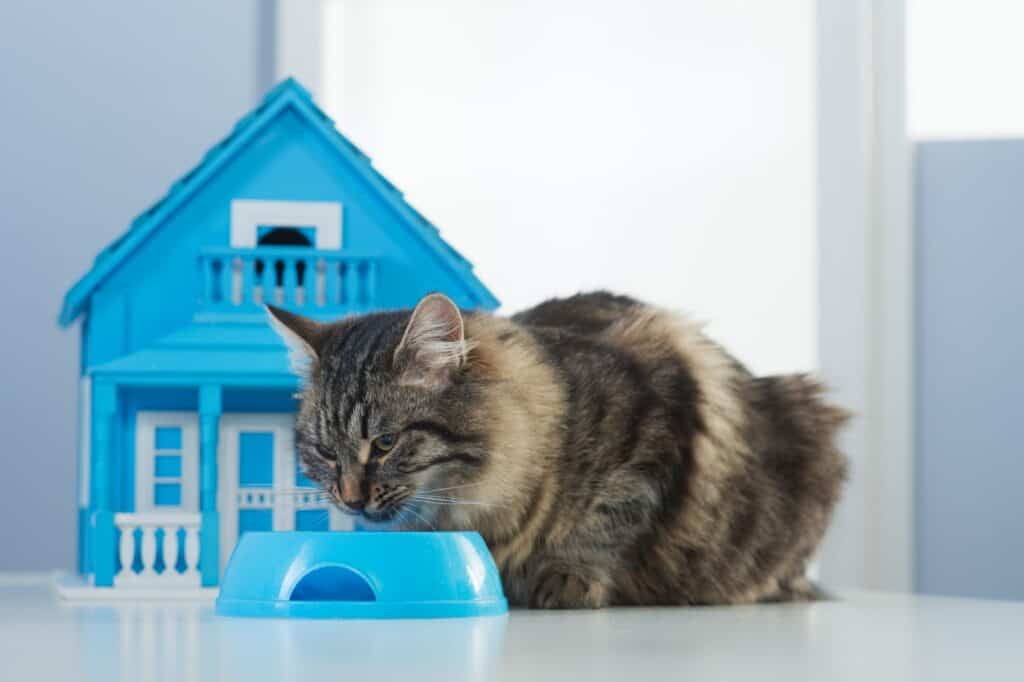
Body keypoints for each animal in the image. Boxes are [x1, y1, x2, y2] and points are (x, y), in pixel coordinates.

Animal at [264, 288, 847, 606]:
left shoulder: (653, 427)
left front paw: (565, 578)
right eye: (325, 452)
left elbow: (608, 519)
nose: (350, 498)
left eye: (384, 443)